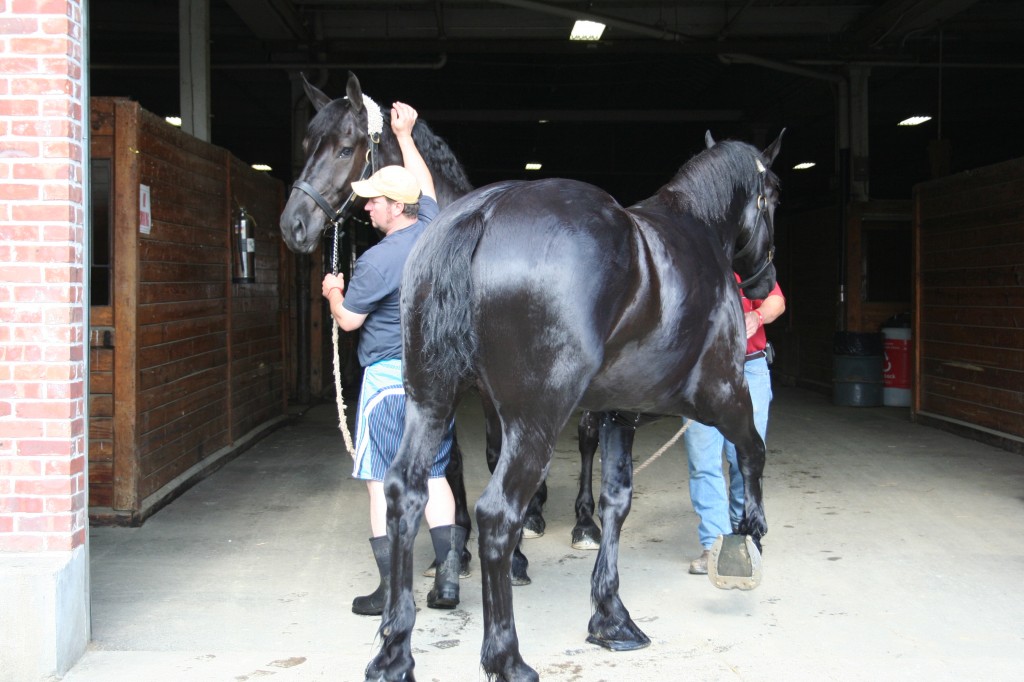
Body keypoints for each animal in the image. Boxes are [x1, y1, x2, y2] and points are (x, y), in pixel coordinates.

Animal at [366, 129, 783, 682]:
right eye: (773, 194)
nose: (764, 281)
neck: (696, 231)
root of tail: (482, 212)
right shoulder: (723, 394)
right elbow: (753, 451)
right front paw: (748, 535)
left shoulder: (618, 414)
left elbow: (616, 502)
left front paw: (611, 618)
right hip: (534, 423)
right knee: (498, 515)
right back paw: (507, 658)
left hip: (430, 402)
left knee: (404, 494)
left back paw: (394, 653)